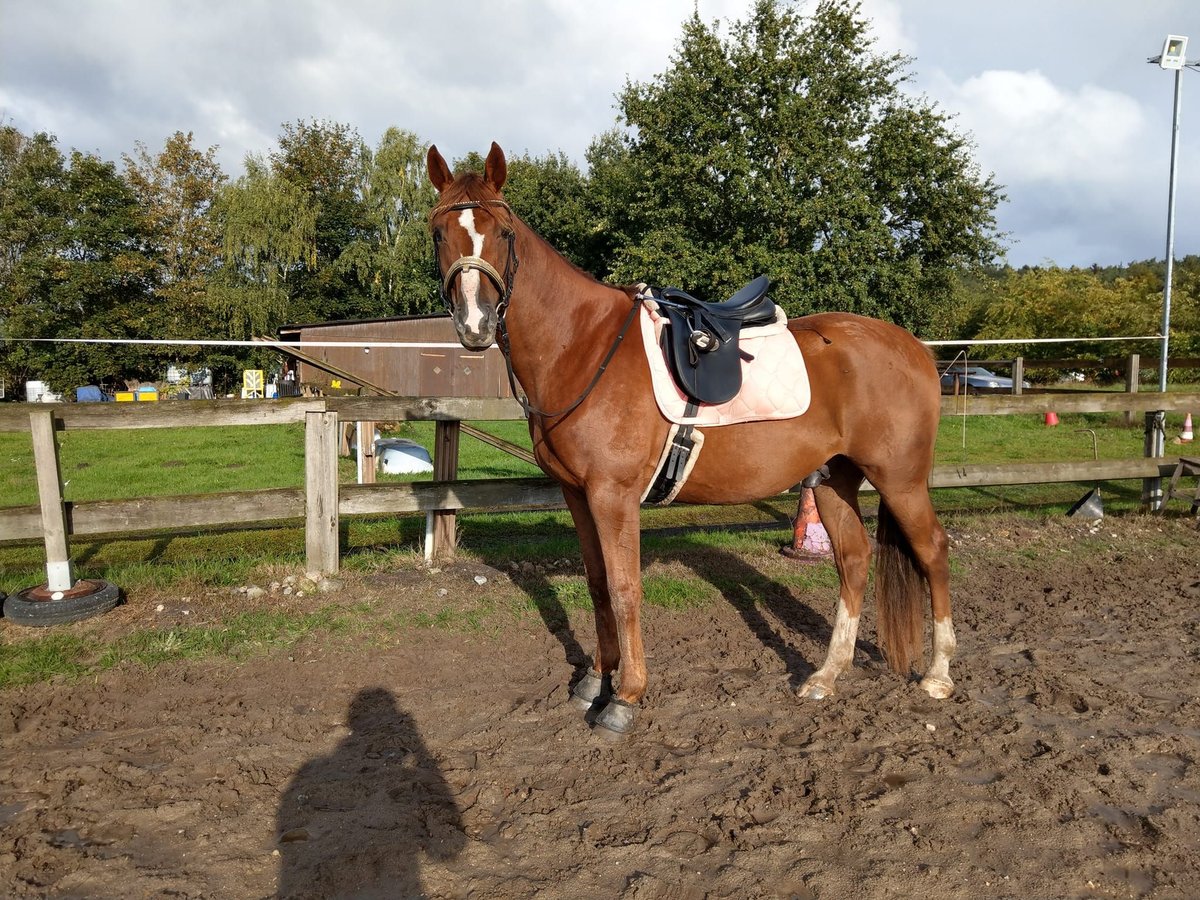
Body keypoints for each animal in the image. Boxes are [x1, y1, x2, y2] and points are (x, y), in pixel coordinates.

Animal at [427, 139, 950, 734]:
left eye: (502, 231)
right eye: (439, 232)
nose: (474, 324)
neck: (584, 346)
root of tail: (913, 348)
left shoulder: (613, 495)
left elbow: (625, 589)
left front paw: (625, 697)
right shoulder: (579, 494)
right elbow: (597, 584)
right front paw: (594, 682)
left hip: (900, 480)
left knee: (932, 551)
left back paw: (938, 676)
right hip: (835, 480)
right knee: (856, 560)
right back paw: (826, 676)